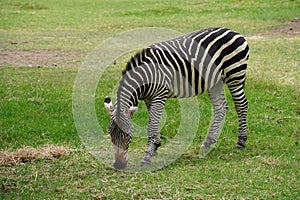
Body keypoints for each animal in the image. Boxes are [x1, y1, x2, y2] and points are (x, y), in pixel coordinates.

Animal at [104, 27, 250, 170]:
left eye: (128, 135)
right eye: (110, 133)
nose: (118, 165)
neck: (144, 78)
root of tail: (234, 32)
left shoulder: (160, 94)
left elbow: (152, 125)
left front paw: (147, 156)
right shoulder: (149, 98)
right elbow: (153, 123)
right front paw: (155, 147)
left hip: (234, 74)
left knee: (241, 104)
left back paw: (241, 141)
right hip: (216, 81)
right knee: (221, 108)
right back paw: (208, 142)